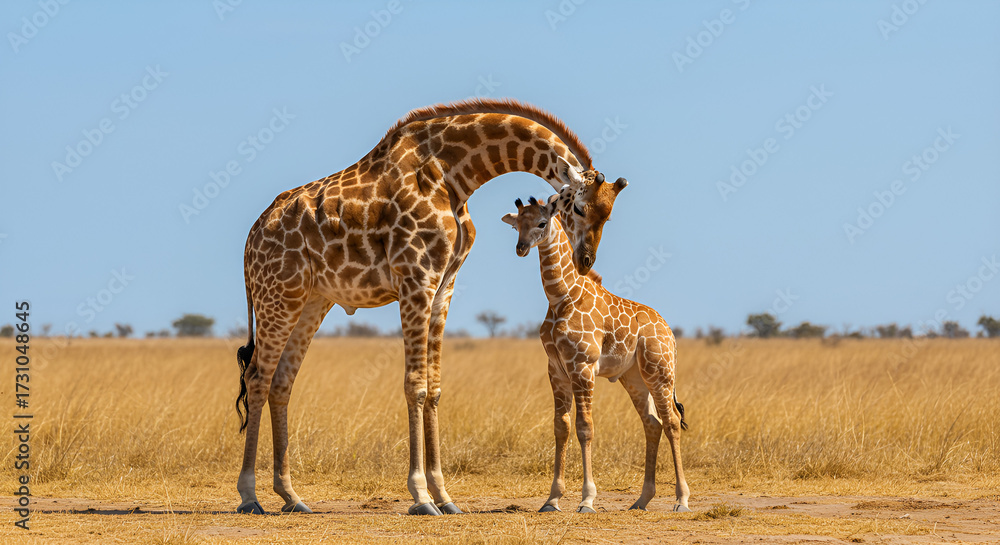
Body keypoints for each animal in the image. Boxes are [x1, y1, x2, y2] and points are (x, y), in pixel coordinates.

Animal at [234, 99, 627, 516]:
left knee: (281, 382)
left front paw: (444, 496)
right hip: (278, 294)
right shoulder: (416, 280)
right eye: (580, 209)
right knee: (257, 378)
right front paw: (421, 497)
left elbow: (434, 388)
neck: (453, 176)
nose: (585, 261)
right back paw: (249, 495)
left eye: (608, 214)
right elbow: (415, 386)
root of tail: (251, 238)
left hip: (311, 301)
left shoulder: (443, 286)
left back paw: (291, 496)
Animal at [500, 195, 691, 513]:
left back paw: (681, 500)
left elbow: (585, 427)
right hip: (633, 378)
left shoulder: (583, 366)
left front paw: (587, 499)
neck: (561, 296)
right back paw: (642, 499)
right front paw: (552, 499)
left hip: (660, 372)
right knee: (652, 423)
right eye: (516, 225)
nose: (521, 247)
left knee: (673, 422)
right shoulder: (556, 369)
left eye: (541, 222)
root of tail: (670, 332)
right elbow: (561, 427)